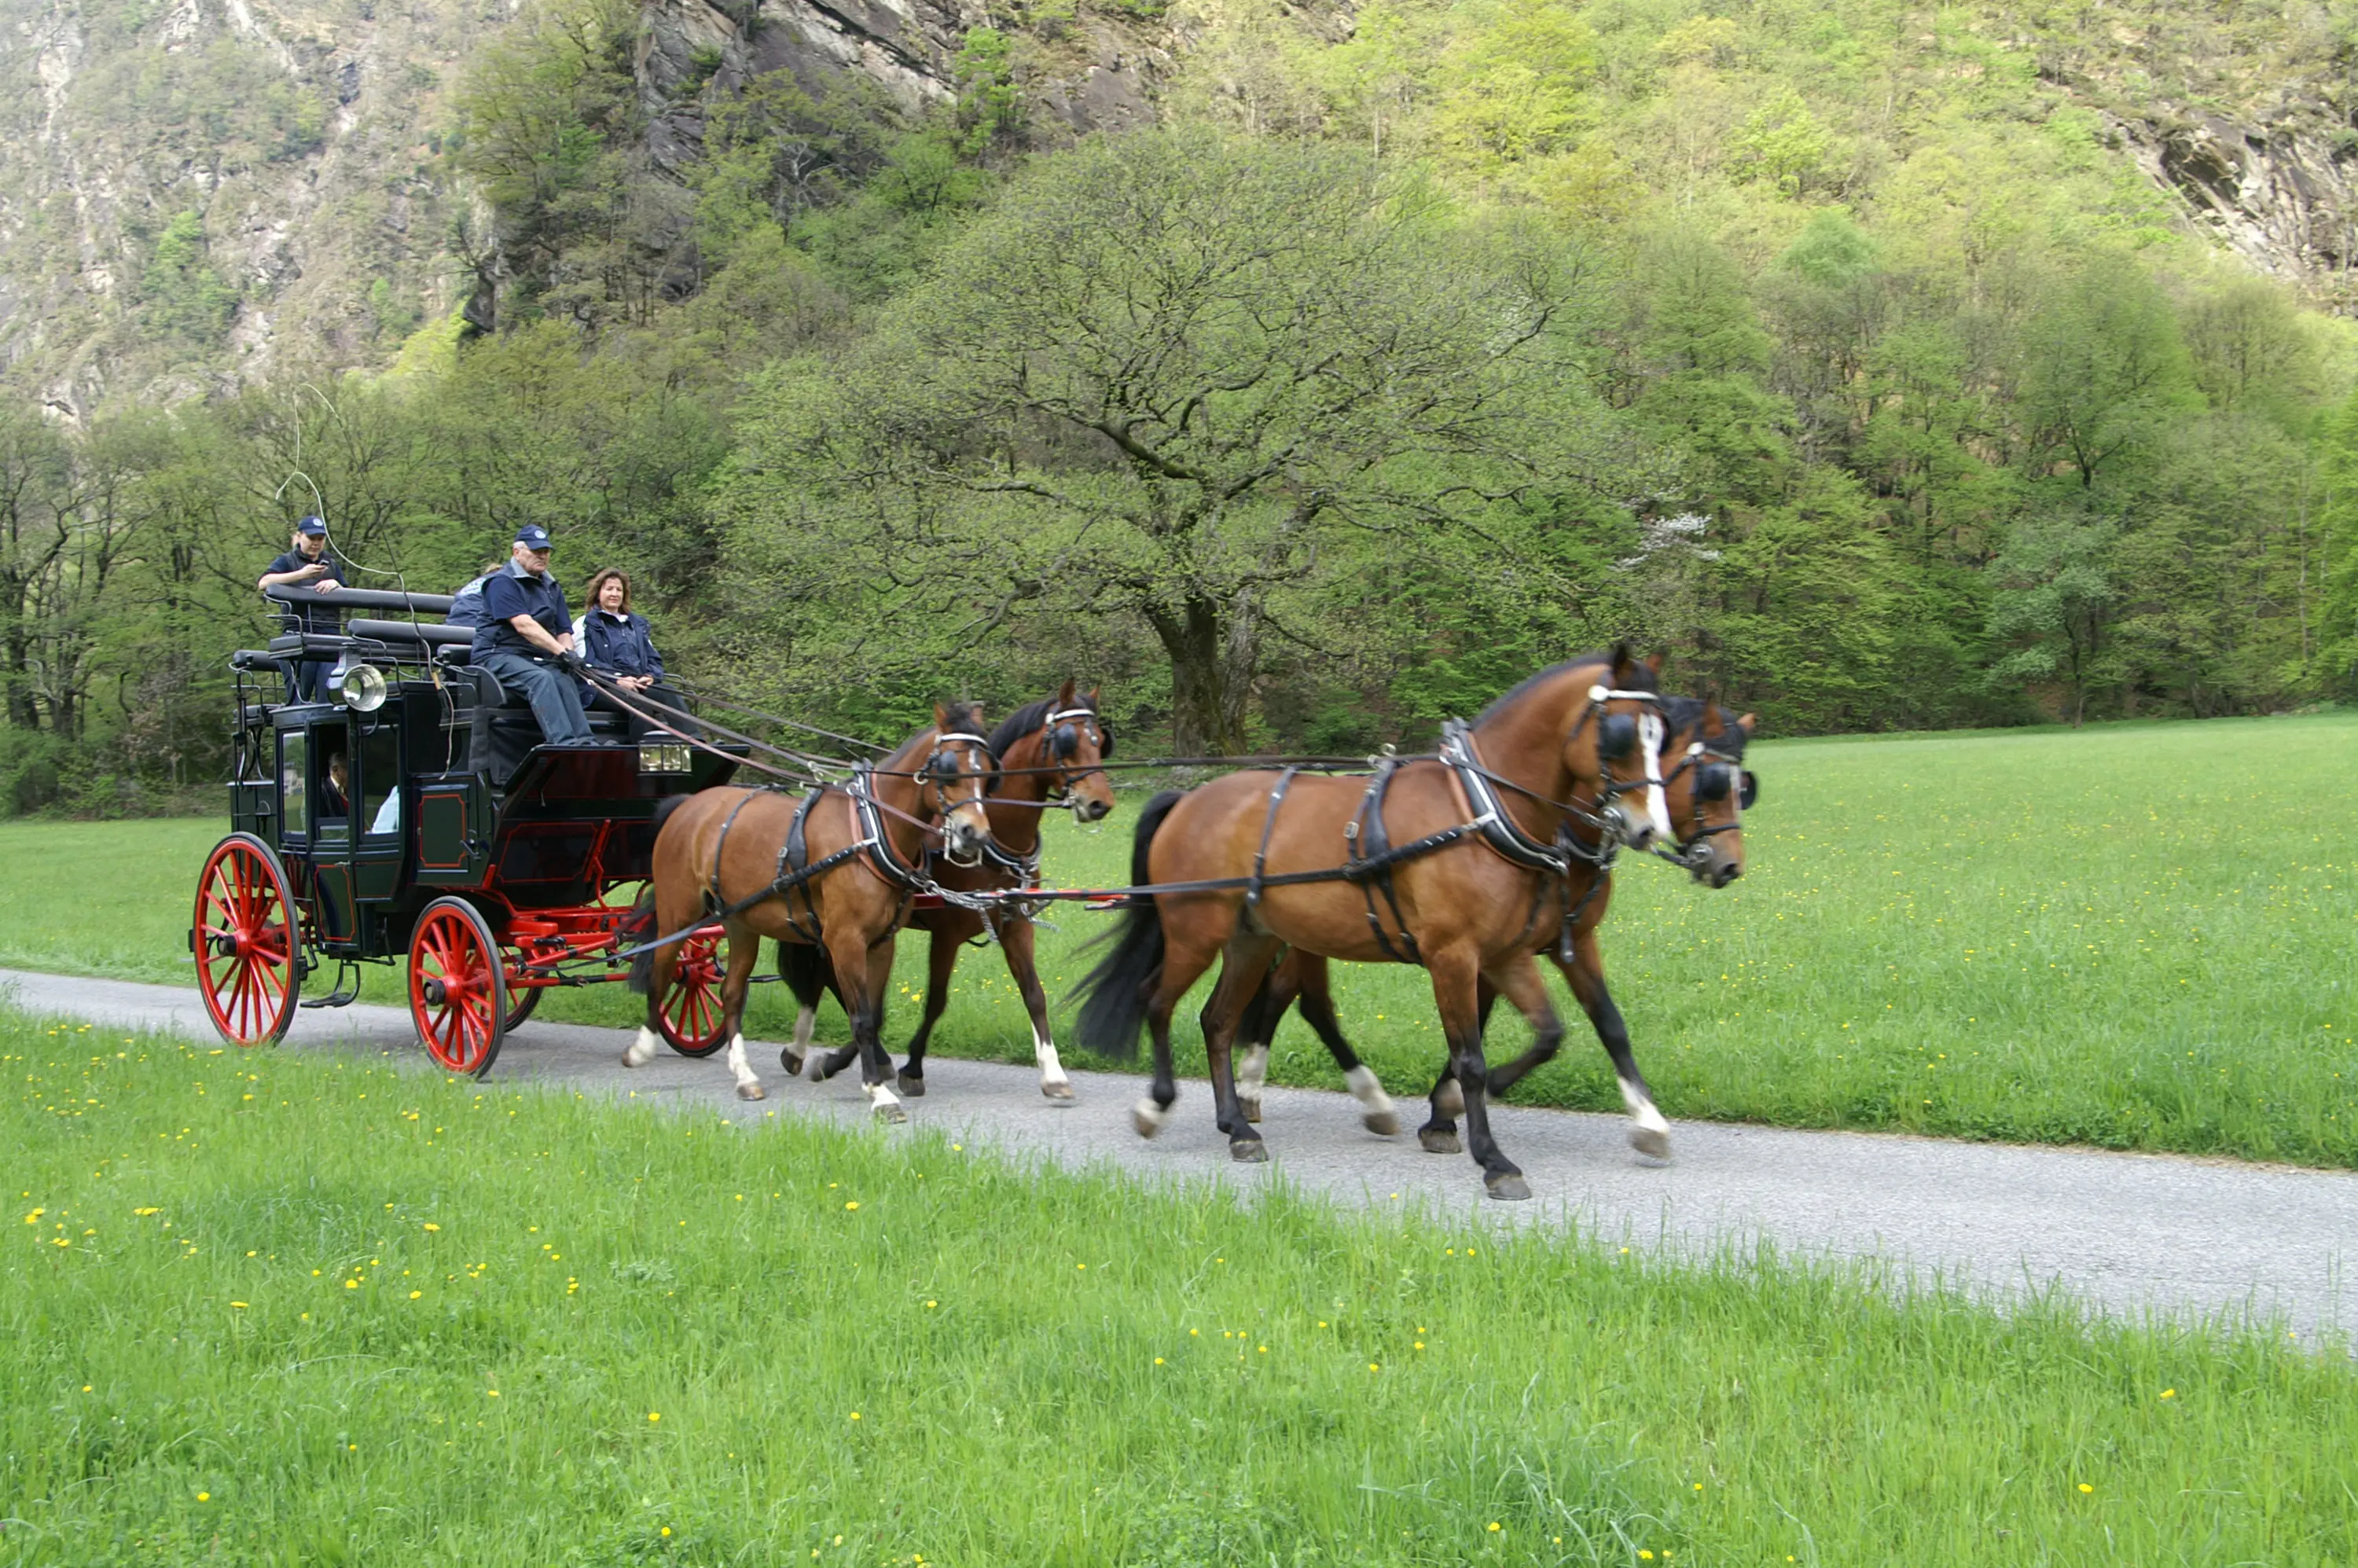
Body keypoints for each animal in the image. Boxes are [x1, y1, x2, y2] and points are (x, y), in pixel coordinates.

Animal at [624, 703, 997, 1122]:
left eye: (987, 771)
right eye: (949, 768)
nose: (974, 834)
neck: (869, 831)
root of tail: (687, 805)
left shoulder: (882, 943)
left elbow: (874, 1014)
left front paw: (852, 1070)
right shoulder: (845, 941)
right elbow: (861, 1017)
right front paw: (879, 1092)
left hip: (739, 922)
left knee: (731, 992)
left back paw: (745, 1076)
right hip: (679, 914)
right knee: (660, 973)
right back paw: (642, 1048)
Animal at [784, 681, 1119, 1102]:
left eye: (1100, 741)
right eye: (1067, 741)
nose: (1100, 803)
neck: (997, 841)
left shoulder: (1016, 924)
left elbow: (1034, 994)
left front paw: (1053, 1073)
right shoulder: (946, 933)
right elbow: (934, 1001)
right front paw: (908, 1067)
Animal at [1072, 647, 1685, 1199]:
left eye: (1664, 737)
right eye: (1622, 736)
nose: (1648, 828)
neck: (1481, 810)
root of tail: (1186, 801)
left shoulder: (1508, 953)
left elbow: (1555, 1033)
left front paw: (1454, 1108)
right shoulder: (1453, 955)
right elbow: (1471, 1058)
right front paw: (1492, 1157)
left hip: (1253, 939)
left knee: (1218, 1021)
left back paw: (1238, 1128)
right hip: (1196, 933)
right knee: (1157, 1000)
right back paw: (1157, 1104)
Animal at [1228, 696, 1757, 1156]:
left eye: (1743, 786)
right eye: (1710, 781)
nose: (1729, 866)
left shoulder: (1563, 943)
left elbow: (1606, 1023)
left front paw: (1648, 1121)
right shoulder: (1479, 950)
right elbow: (1479, 1028)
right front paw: (1447, 1109)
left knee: (1294, 999)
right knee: (1302, 1001)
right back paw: (1296, 1092)